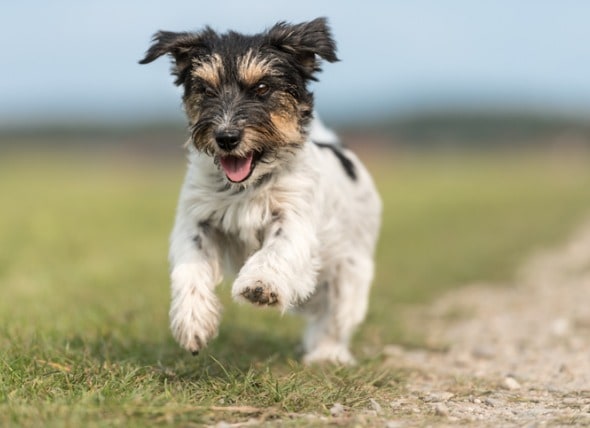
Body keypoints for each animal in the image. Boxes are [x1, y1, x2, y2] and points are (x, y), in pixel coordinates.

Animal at [140, 17, 382, 364]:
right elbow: (191, 267)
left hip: (351, 271)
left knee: (335, 317)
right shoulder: (196, 219)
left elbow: (277, 249)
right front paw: (193, 321)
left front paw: (259, 285)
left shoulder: (295, 218)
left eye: (263, 88)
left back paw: (326, 355)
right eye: (205, 89)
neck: (246, 187)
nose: (226, 137)